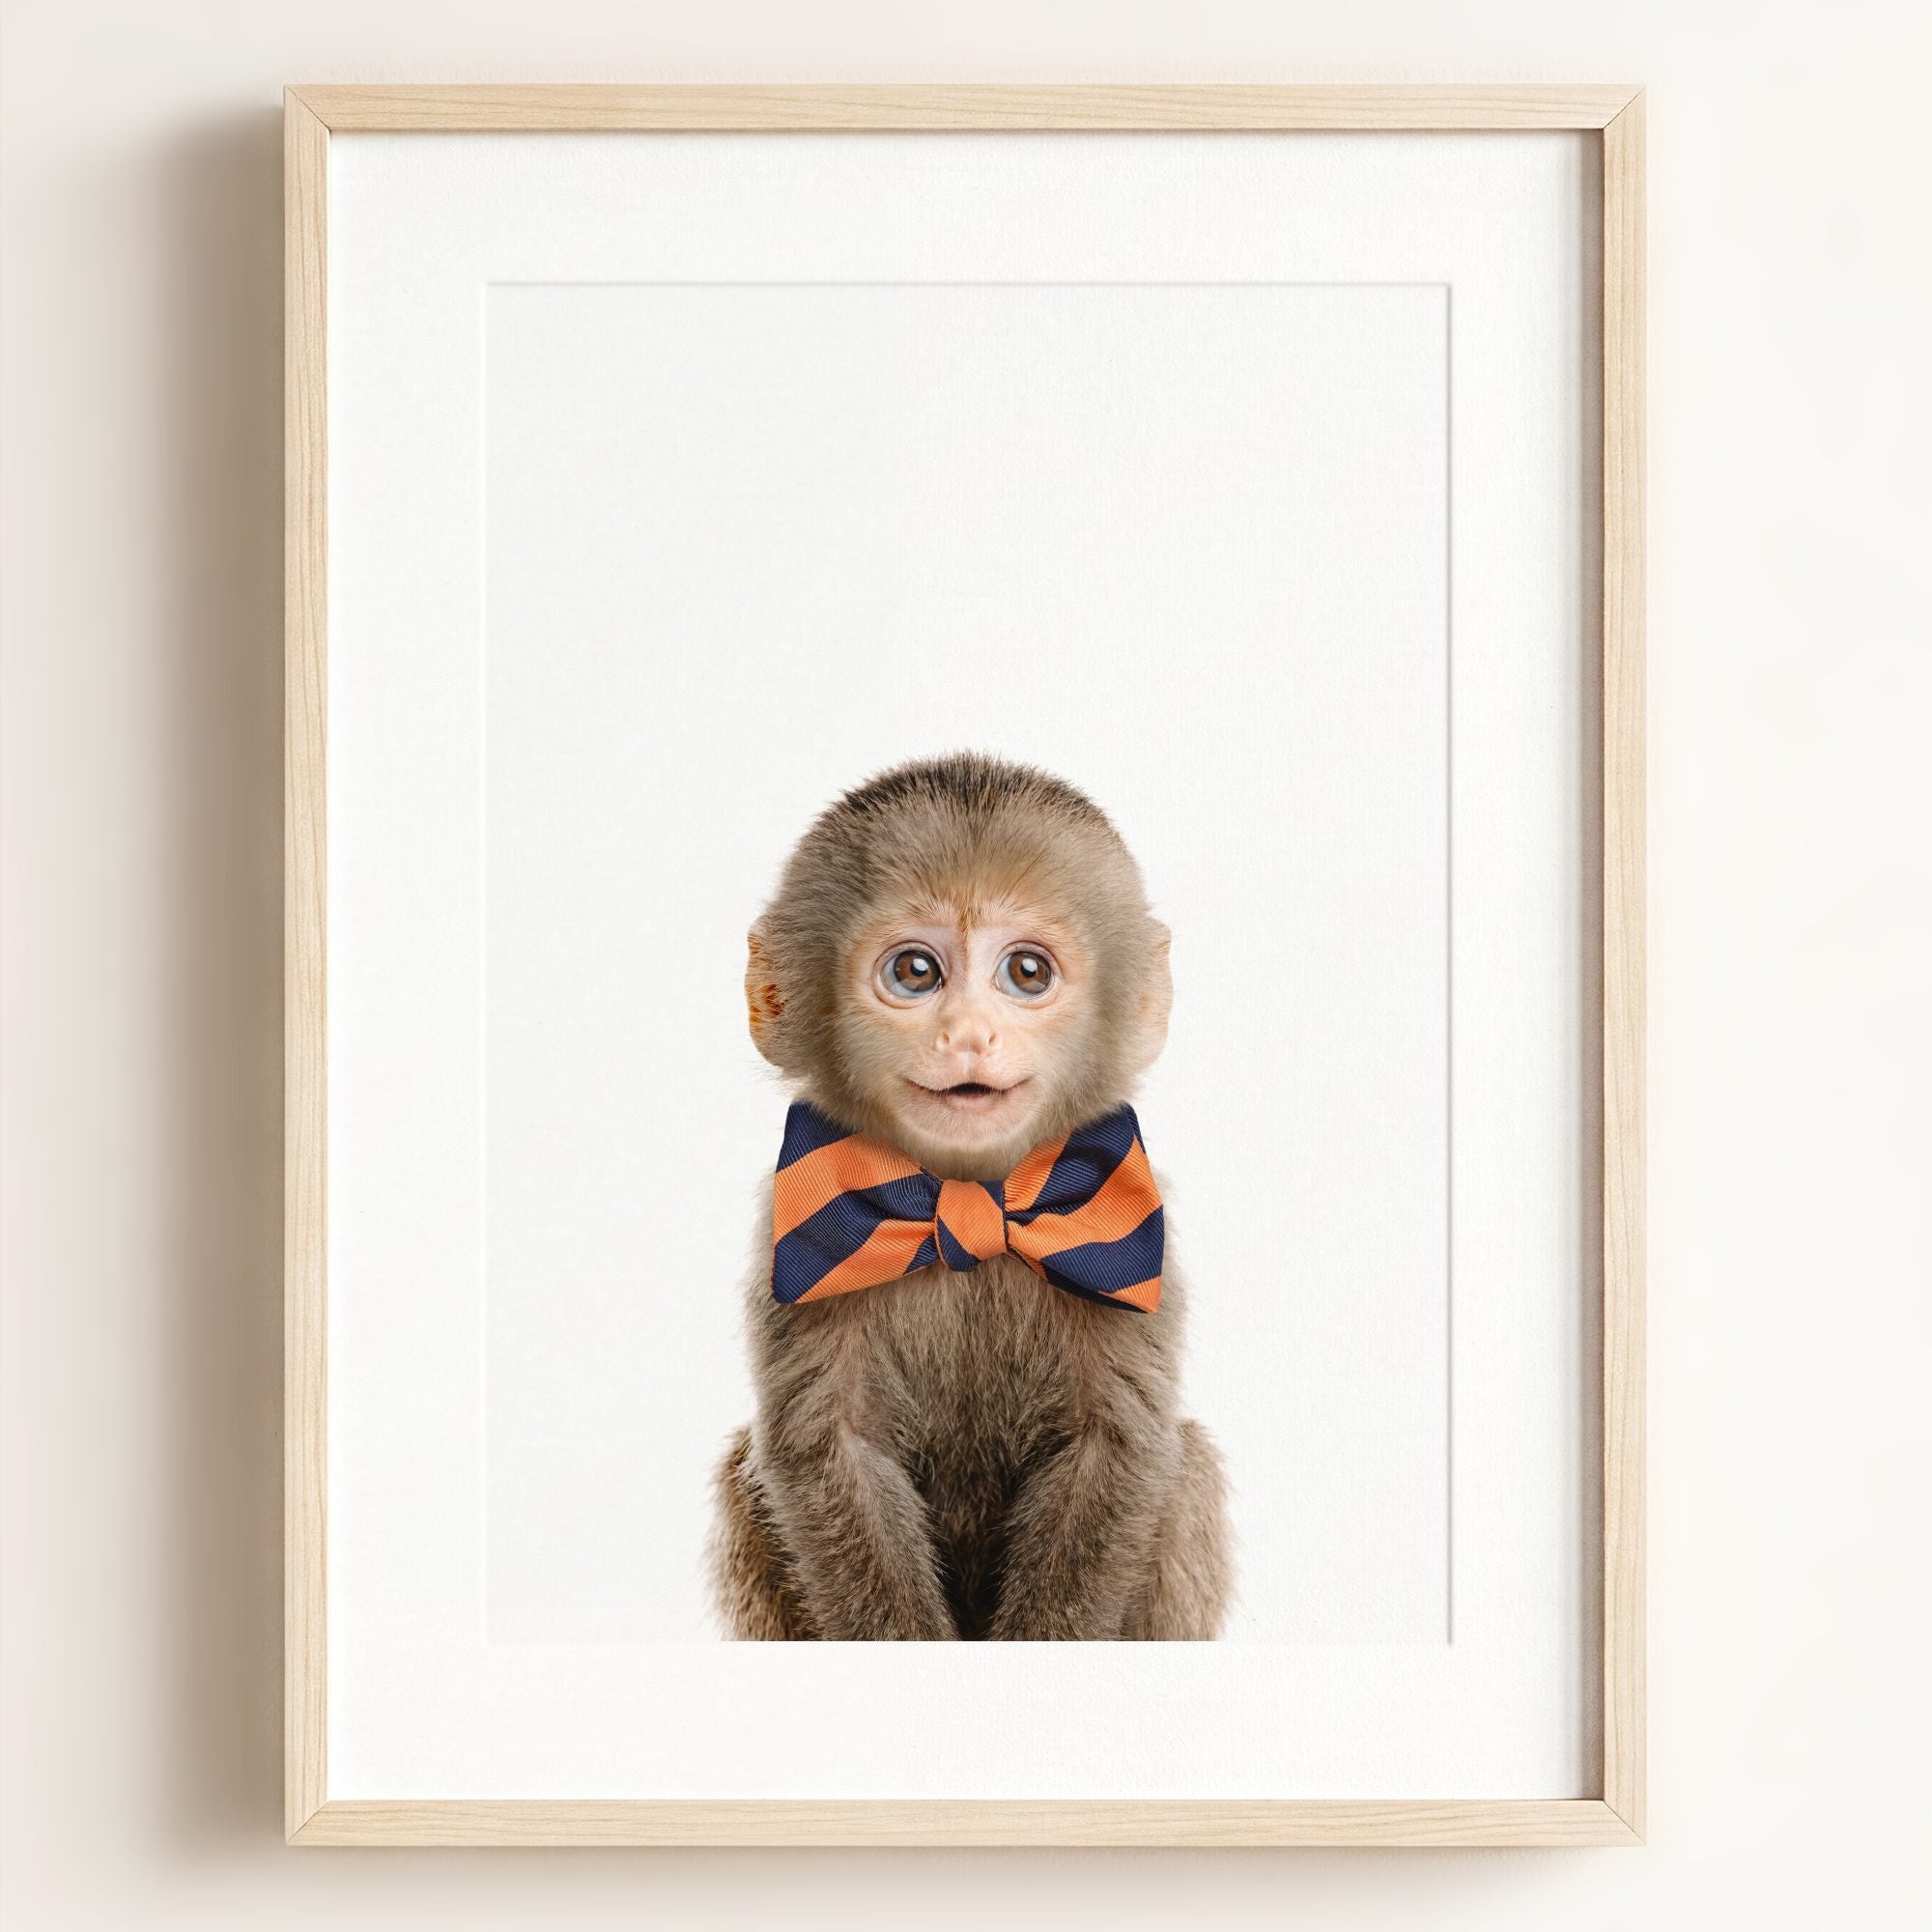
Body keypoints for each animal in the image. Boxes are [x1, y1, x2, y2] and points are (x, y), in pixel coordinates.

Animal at [709, 753, 1231, 1640]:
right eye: (915, 972)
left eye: (1027, 972)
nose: (968, 1036)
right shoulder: (795, 1236)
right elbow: (829, 1453)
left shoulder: (1132, 1228)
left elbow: (1117, 1449)